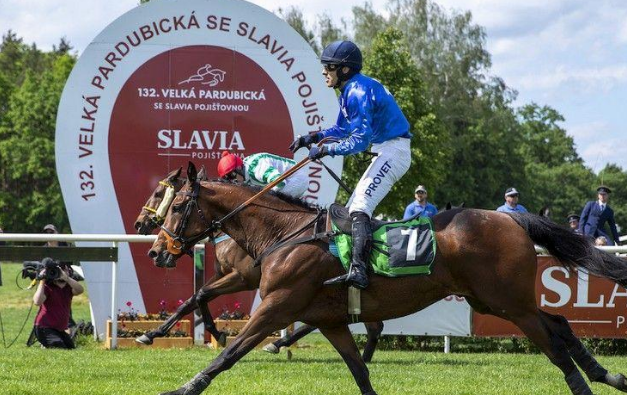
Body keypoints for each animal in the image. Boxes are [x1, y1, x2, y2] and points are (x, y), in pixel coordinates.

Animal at [134, 166, 382, 360]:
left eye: (162, 196)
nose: (155, 251)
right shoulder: (223, 273)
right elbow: (194, 298)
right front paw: (152, 333)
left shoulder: (243, 277)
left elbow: (202, 294)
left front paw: (217, 334)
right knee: (368, 324)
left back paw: (279, 344)